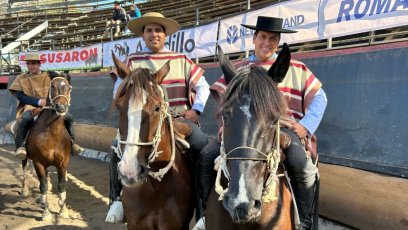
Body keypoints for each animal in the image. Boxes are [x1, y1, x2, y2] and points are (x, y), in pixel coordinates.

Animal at [21, 73, 72, 221]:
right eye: (53, 86)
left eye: (69, 88)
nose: (61, 107)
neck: (52, 134)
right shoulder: (38, 163)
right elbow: (42, 186)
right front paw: (46, 212)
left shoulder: (63, 163)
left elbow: (61, 186)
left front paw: (63, 211)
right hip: (25, 158)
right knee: (24, 169)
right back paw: (24, 190)